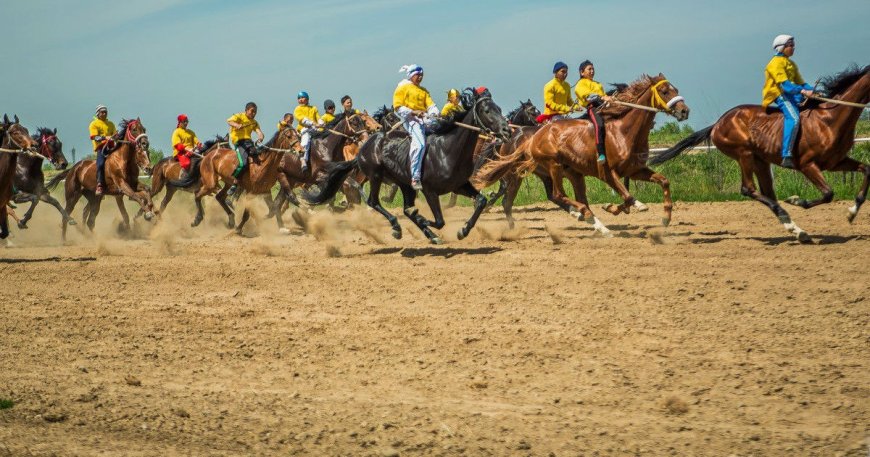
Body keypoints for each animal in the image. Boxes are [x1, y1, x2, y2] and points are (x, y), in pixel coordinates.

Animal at [304, 89, 510, 246]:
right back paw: (397, 227)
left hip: (404, 184)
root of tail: (364, 147)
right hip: (376, 176)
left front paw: (463, 230)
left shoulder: (459, 185)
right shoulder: (429, 190)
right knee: (374, 202)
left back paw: (429, 235)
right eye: (486, 110)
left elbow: (481, 201)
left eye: (499, 108)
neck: (447, 149)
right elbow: (439, 220)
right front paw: (423, 220)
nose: (507, 130)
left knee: (404, 208)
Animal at [474, 73, 692, 235]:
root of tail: (524, 136)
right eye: (664, 91)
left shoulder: (634, 169)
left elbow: (663, 181)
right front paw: (623, 206)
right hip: (538, 170)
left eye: (675, 89)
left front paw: (665, 217)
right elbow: (628, 196)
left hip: (558, 174)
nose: (684, 111)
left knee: (554, 197)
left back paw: (591, 221)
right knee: (544, 196)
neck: (623, 131)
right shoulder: (607, 172)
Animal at [652, 64, 868, 242]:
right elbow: (828, 193)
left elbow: (866, 169)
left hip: (760, 160)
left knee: (767, 193)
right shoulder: (807, 165)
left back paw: (796, 229)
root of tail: (718, 123)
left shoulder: (836, 162)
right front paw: (797, 200)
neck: (829, 119)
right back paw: (789, 219)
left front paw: (852, 212)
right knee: (748, 189)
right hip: (744, 154)